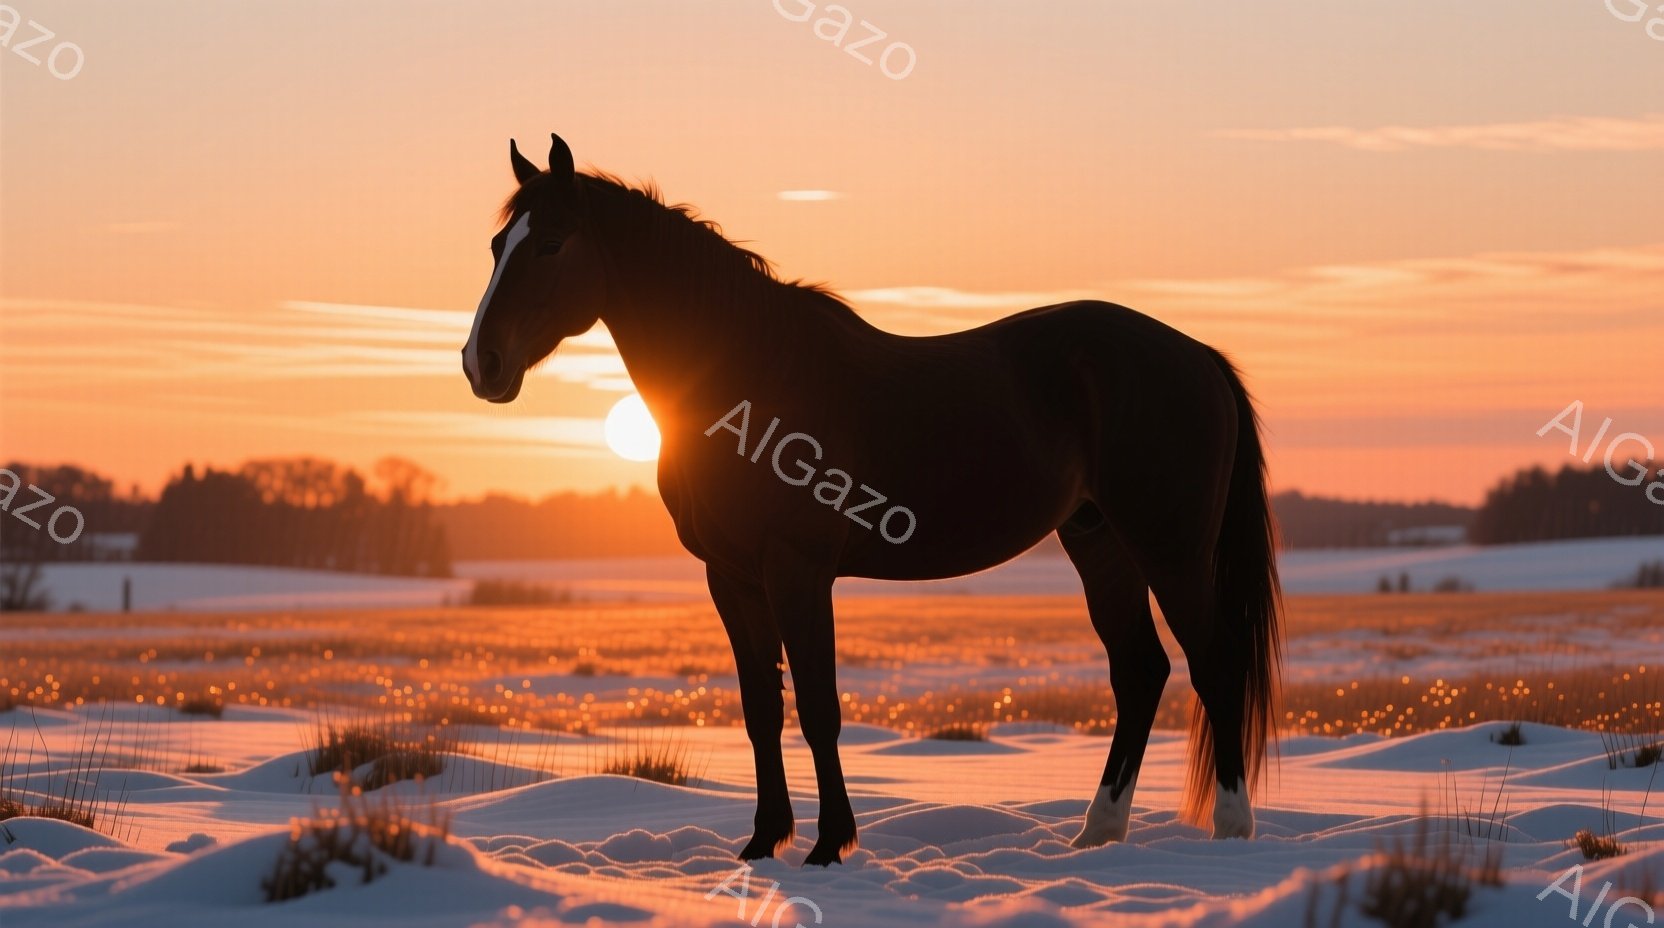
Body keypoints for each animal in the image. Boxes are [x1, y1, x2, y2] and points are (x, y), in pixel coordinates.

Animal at [461, 133, 1282, 866]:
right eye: (498, 242)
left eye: (552, 244)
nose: (481, 363)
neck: (752, 379)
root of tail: (1197, 356)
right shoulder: (730, 577)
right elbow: (761, 711)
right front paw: (762, 843)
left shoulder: (798, 570)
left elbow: (819, 709)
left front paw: (829, 845)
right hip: (1099, 541)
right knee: (1140, 672)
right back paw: (1097, 834)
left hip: (1171, 549)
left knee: (1212, 664)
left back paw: (1230, 830)